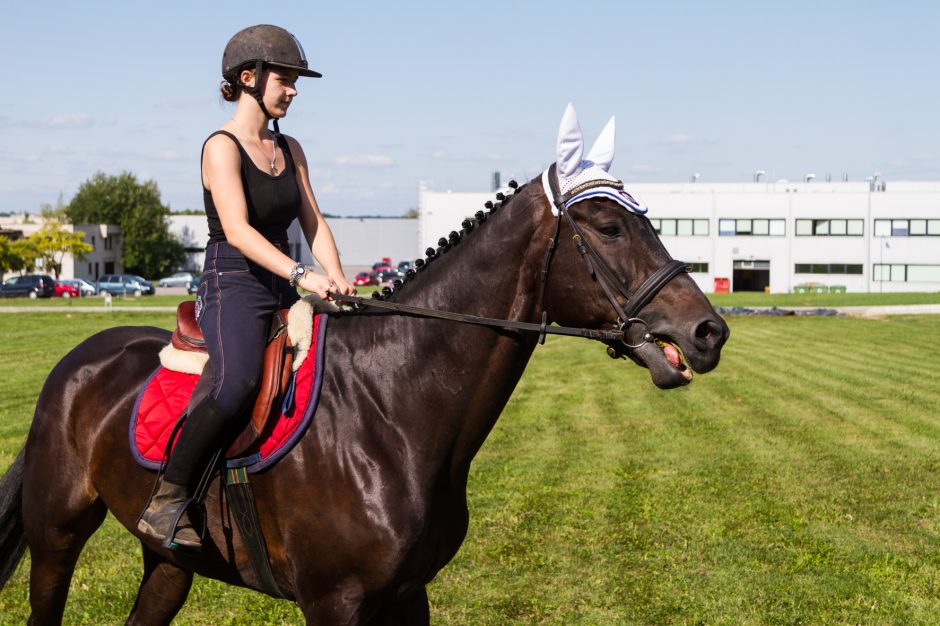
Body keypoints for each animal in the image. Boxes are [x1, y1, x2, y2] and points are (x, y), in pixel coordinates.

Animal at [0, 109, 728, 620]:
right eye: (608, 227)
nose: (709, 331)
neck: (392, 410)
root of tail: (78, 362)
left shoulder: (408, 595)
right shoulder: (334, 603)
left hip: (169, 564)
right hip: (58, 539)